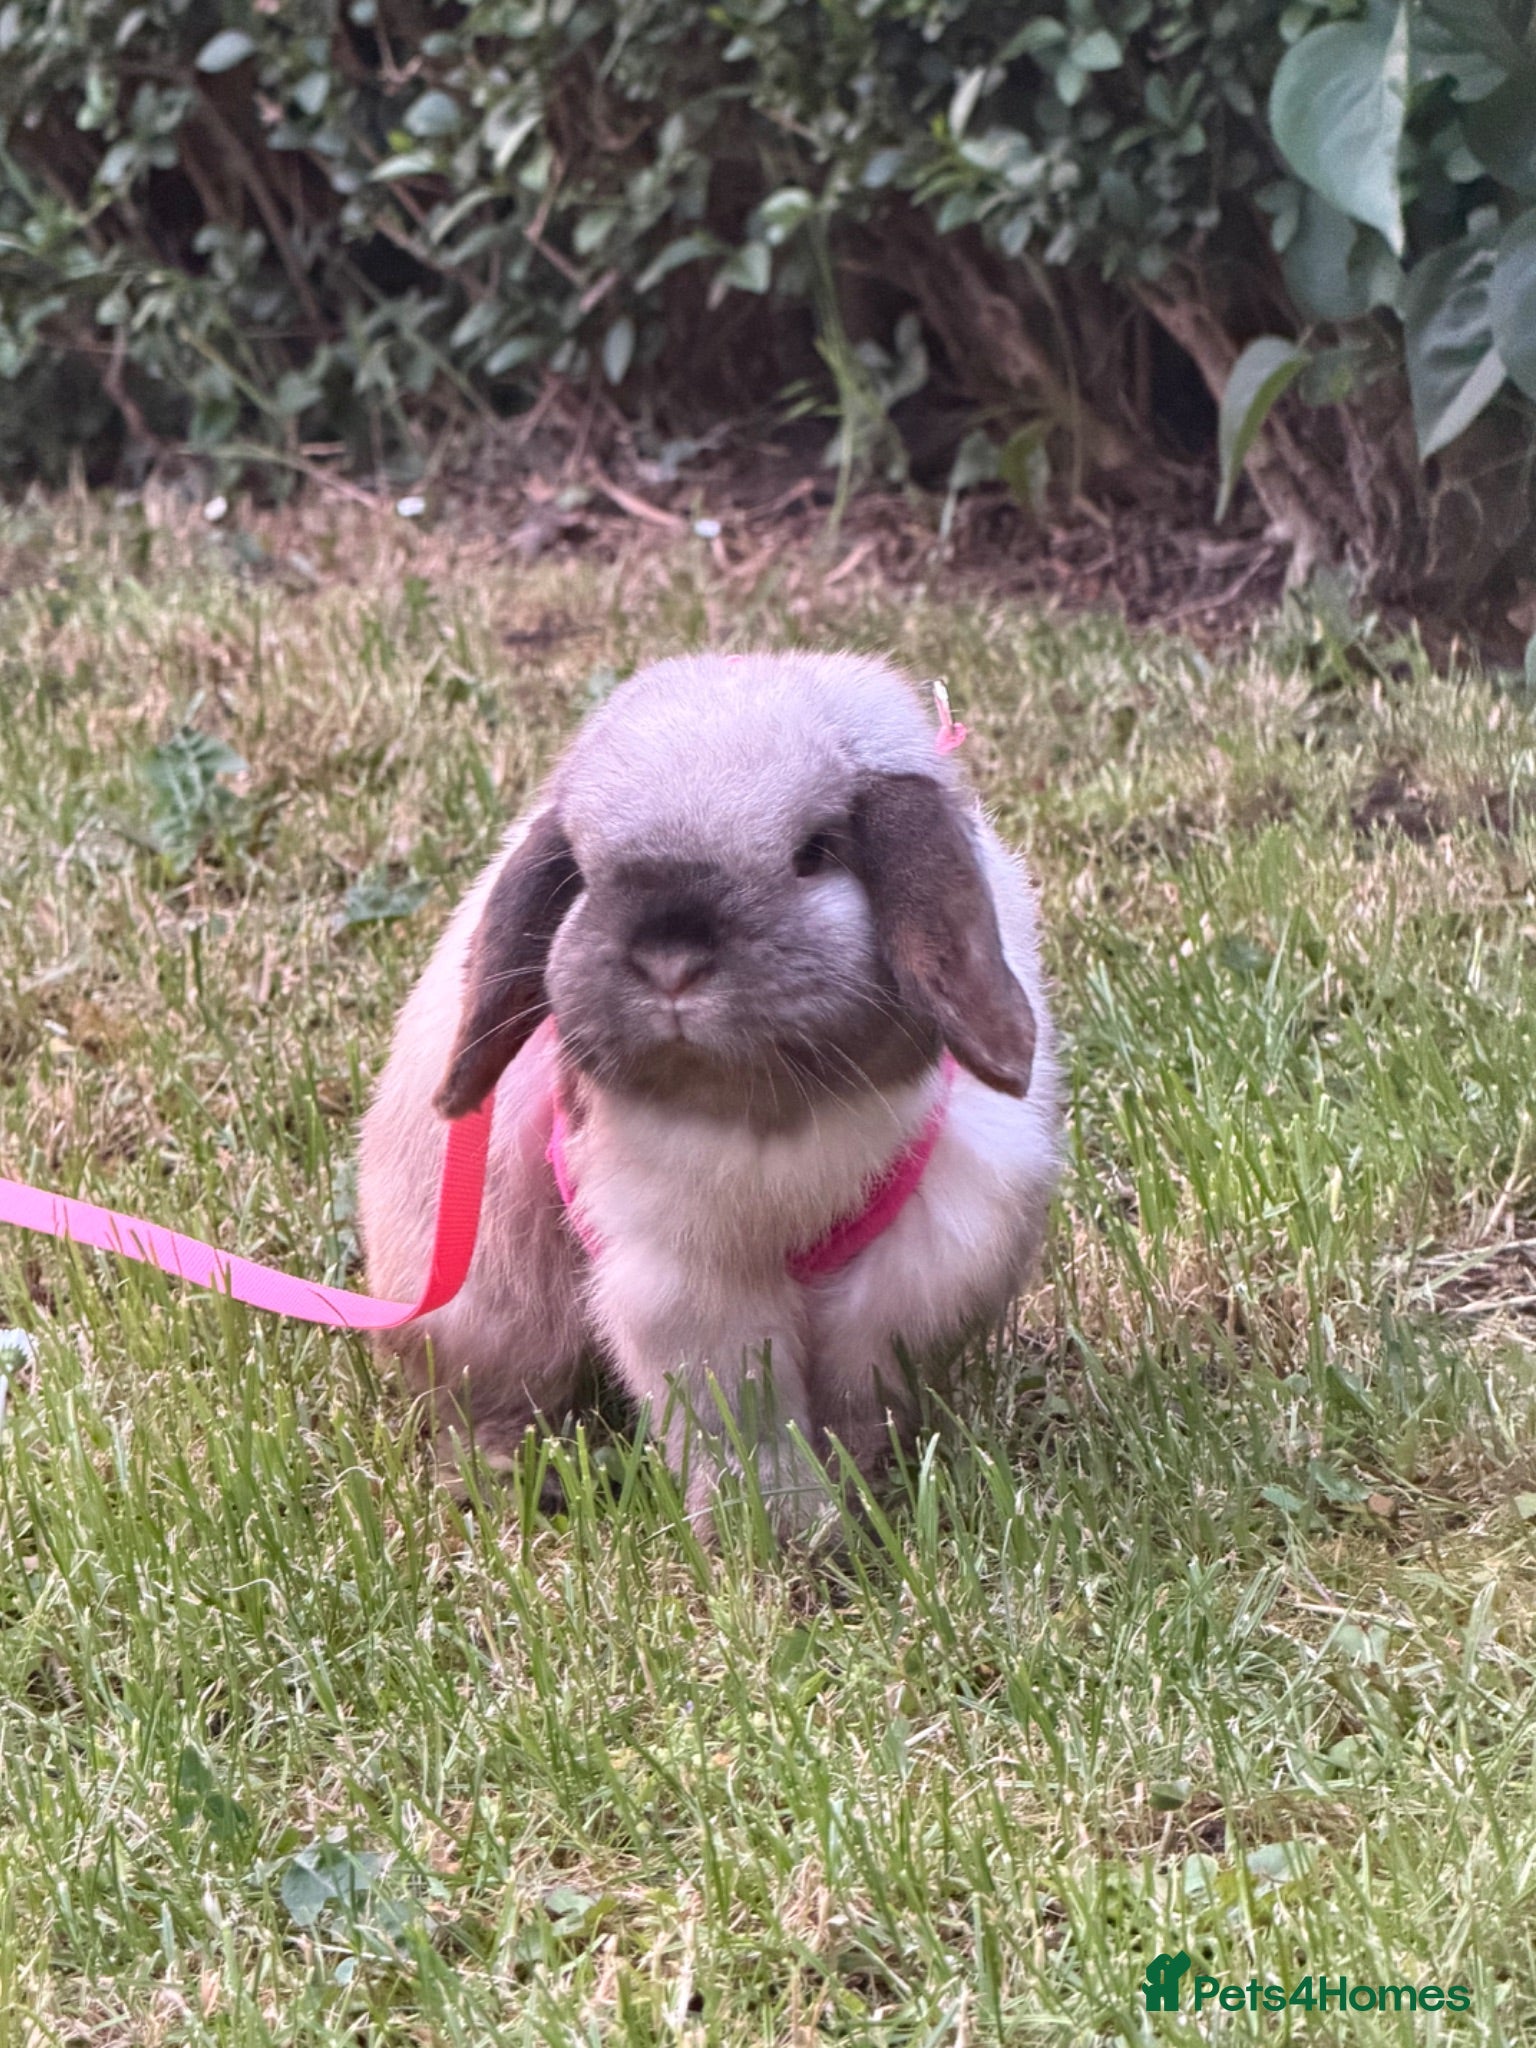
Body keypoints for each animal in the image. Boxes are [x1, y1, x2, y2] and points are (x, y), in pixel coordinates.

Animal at [356, 650, 1062, 1538]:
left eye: (815, 852)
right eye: (584, 873)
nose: (670, 958)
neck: (771, 1120)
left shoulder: (904, 1285)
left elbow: (854, 1407)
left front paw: (851, 1500)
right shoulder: (690, 1285)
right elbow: (744, 1421)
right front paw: (776, 1530)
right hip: (489, 1301)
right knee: (489, 1404)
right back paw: (516, 1480)